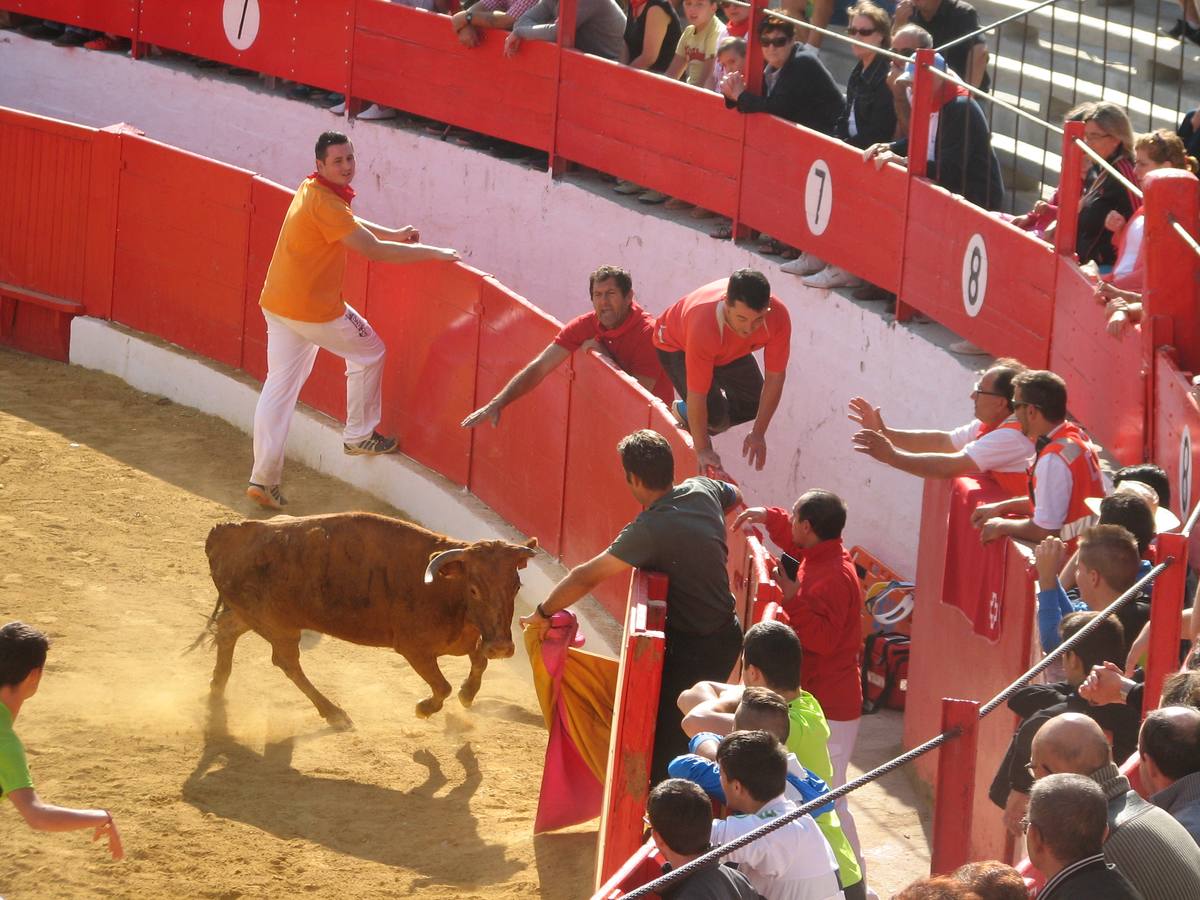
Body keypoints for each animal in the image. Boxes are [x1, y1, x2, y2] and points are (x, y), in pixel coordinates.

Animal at [200, 511, 535, 729]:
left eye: (516, 586)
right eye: (475, 589)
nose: (503, 647)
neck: (446, 589)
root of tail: (225, 533)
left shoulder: (466, 640)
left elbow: (479, 661)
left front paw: (468, 694)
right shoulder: (414, 650)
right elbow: (442, 686)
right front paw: (424, 709)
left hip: (251, 615)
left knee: (227, 631)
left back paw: (216, 692)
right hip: (279, 627)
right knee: (286, 662)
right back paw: (334, 714)